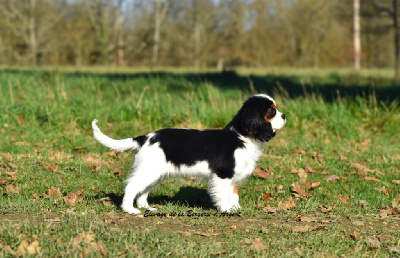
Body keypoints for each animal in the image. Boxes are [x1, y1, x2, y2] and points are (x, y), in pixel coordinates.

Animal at [91, 94, 284, 214]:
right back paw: (129, 210)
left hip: (154, 174)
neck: (241, 136)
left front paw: (236, 208)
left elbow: (234, 193)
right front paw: (227, 210)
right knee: (131, 187)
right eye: (272, 111)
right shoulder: (223, 175)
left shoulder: (234, 177)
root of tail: (145, 137)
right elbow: (224, 194)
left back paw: (147, 208)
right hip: (148, 171)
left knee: (143, 192)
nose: (284, 116)